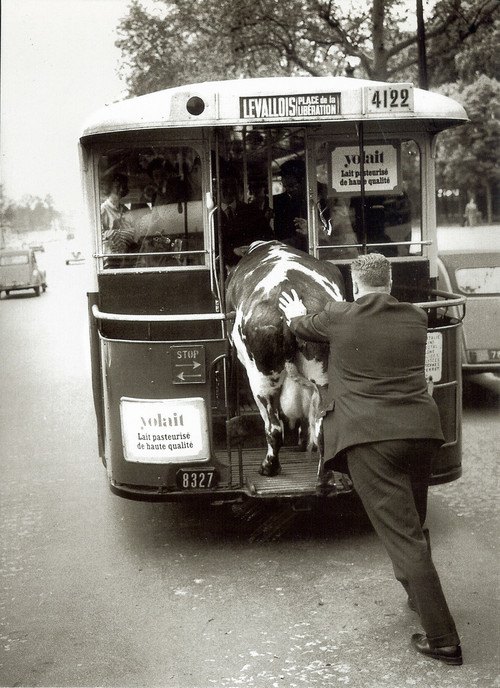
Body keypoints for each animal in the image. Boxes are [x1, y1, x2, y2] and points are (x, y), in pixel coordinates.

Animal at [226, 239, 344, 476]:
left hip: (262, 378)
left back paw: (269, 467)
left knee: (273, 427)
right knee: (321, 427)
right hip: (323, 376)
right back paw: (324, 477)